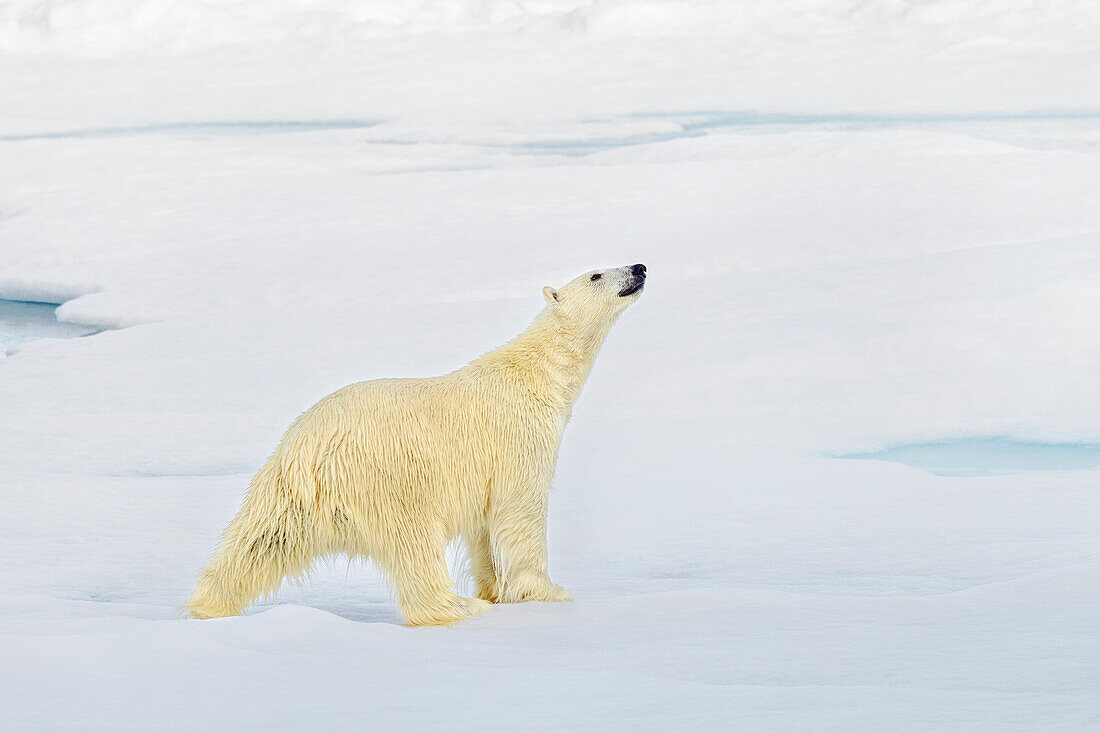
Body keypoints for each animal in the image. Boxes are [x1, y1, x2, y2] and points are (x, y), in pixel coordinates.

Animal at [180, 263, 642, 620]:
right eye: (596, 274)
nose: (639, 268)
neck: (539, 374)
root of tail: (308, 449)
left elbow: (484, 528)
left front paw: (493, 589)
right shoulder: (519, 437)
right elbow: (520, 510)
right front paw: (548, 592)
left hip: (284, 489)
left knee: (258, 542)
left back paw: (207, 605)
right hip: (390, 476)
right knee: (415, 542)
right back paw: (456, 607)